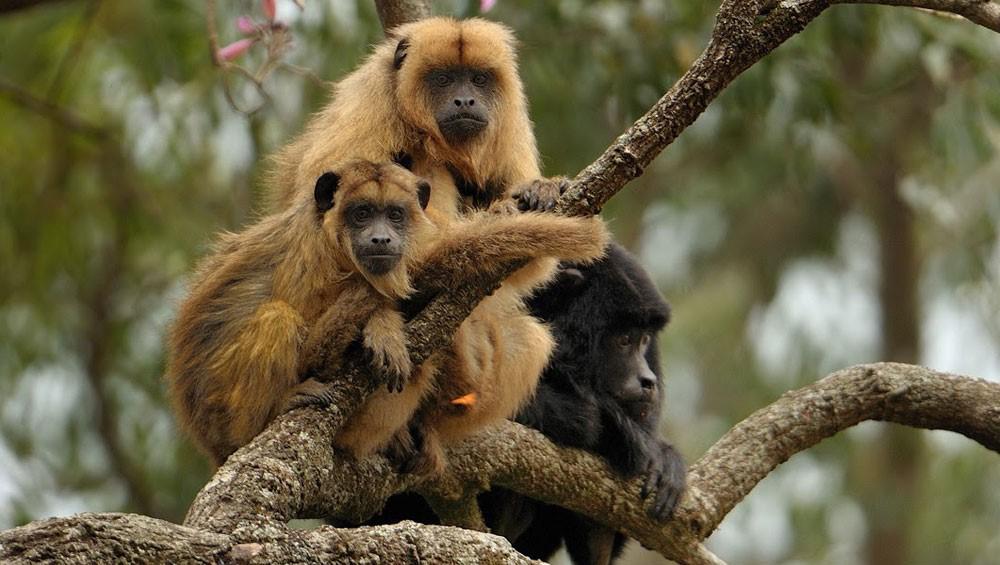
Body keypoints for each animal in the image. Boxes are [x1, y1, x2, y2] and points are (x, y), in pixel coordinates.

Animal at [166, 160, 609, 467]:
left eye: (394, 214)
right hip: (223, 419)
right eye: (362, 213)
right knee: (277, 316)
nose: (381, 238)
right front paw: (381, 326)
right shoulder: (310, 255)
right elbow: (314, 351)